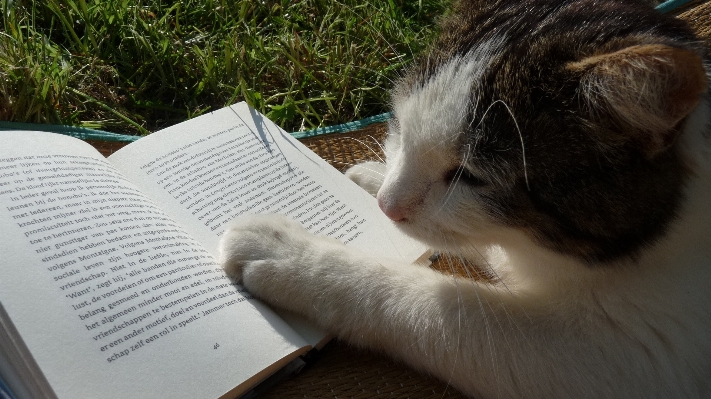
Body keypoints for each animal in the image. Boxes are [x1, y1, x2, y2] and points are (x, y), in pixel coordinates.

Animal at [221, 1, 711, 398]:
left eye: (471, 176)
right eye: (400, 125)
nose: (387, 205)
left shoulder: (623, 358)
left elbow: (445, 305)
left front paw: (292, 255)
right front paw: (372, 176)